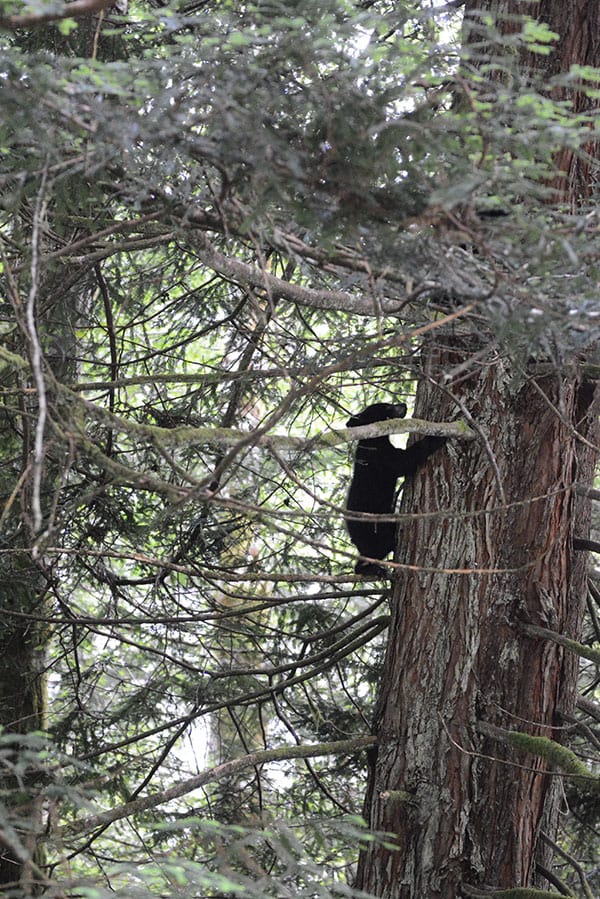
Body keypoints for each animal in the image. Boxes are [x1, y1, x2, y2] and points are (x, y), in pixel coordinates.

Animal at [345, 401, 447, 577]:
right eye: (386, 407)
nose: (403, 404)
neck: (373, 441)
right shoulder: (382, 458)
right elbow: (405, 460)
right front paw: (437, 437)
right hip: (375, 528)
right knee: (376, 549)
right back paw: (373, 569)